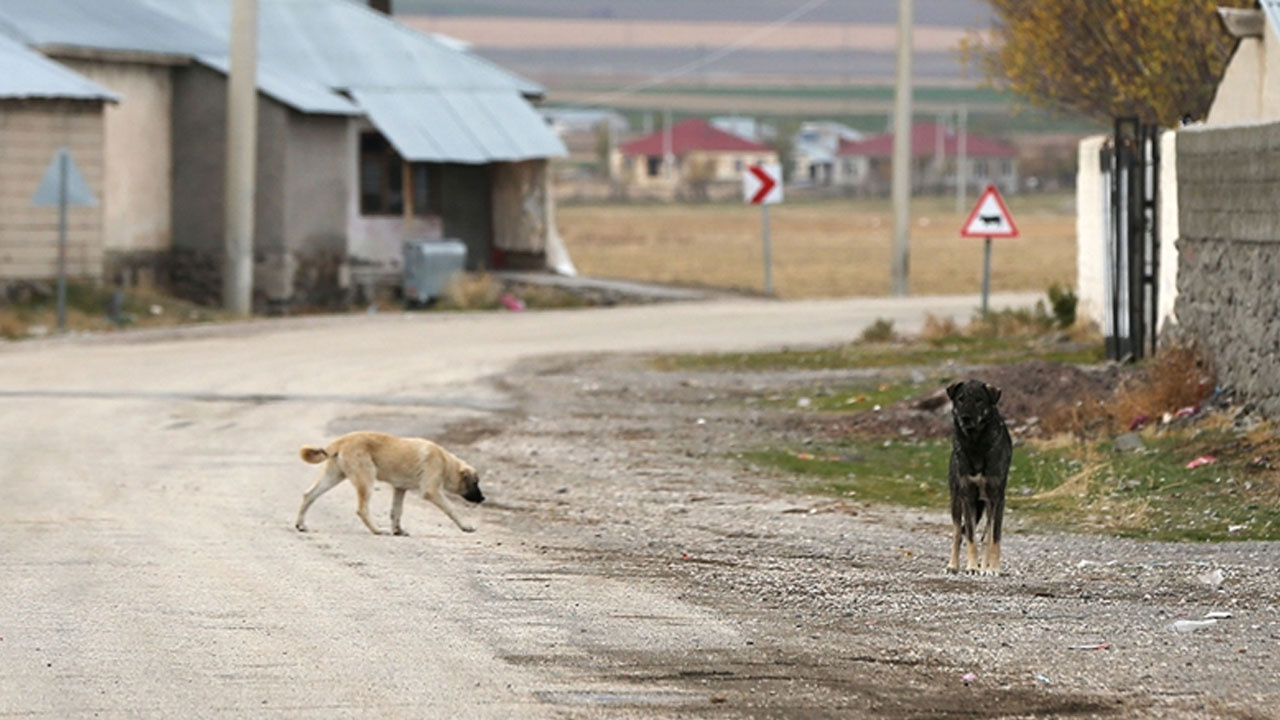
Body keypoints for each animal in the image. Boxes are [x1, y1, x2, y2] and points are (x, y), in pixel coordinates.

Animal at [294, 430, 483, 532]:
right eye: (475, 482)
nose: (483, 499)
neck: (446, 462)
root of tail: (341, 441)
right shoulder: (432, 491)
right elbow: (451, 509)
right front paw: (466, 526)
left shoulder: (400, 489)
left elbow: (396, 511)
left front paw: (398, 530)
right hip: (366, 478)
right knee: (362, 509)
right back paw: (377, 530)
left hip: (333, 476)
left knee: (309, 495)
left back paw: (301, 524)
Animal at [942, 379, 1008, 573]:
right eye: (960, 399)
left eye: (979, 400)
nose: (965, 417)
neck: (976, 444)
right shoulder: (967, 496)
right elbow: (970, 536)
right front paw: (972, 566)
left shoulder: (997, 497)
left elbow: (994, 537)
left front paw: (993, 568)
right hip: (956, 501)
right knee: (958, 533)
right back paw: (953, 565)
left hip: (987, 504)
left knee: (987, 535)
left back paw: (986, 566)